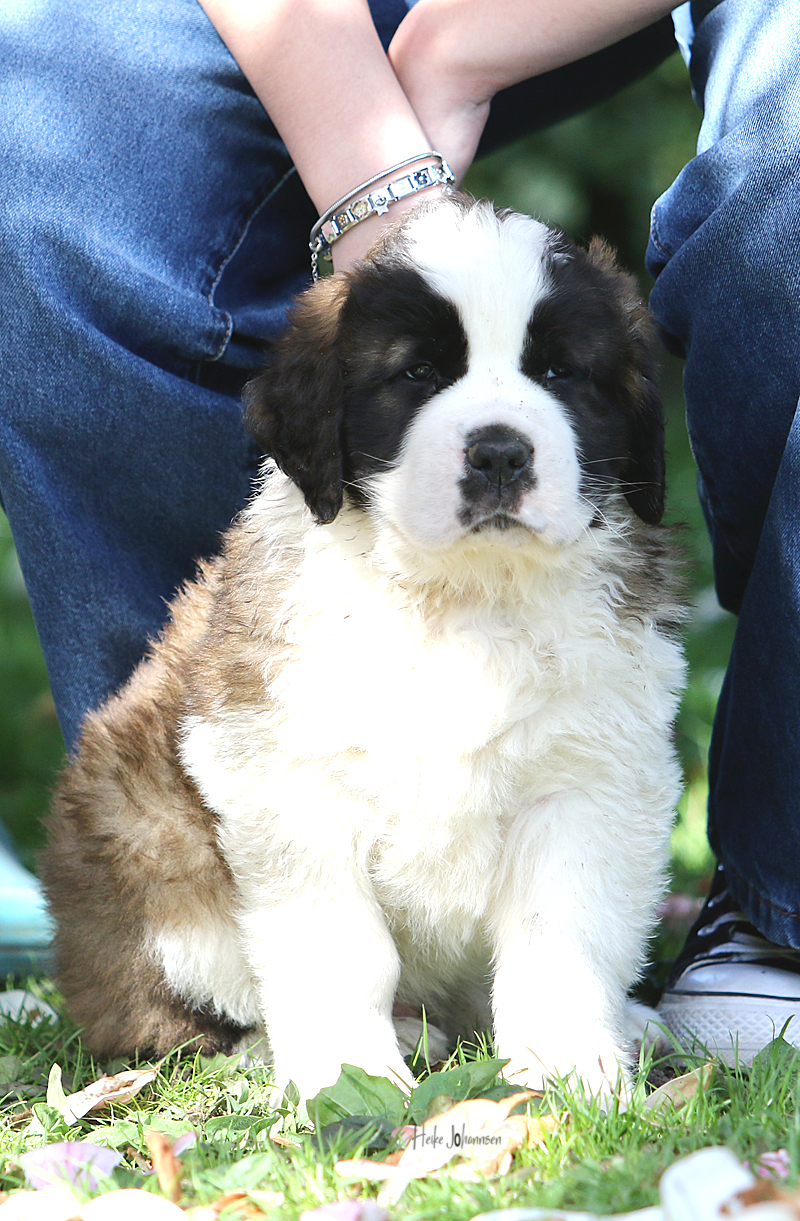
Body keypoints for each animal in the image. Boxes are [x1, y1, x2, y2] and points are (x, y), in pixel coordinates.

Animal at [41, 195, 685, 1101]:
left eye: (562, 374)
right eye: (415, 376)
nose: (499, 452)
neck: (461, 597)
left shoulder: (589, 775)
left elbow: (561, 930)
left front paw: (565, 1062)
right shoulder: (284, 776)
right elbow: (341, 946)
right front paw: (349, 1073)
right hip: (146, 852)